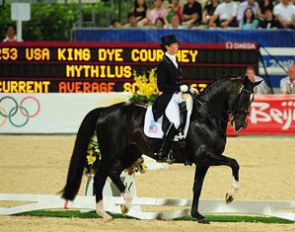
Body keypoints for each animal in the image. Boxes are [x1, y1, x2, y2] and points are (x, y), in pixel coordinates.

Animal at [60, 75, 262, 223]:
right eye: (244, 97)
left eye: (253, 99)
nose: (241, 125)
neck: (206, 117)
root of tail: (105, 111)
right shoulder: (206, 155)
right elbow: (234, 164)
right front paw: (230, 196)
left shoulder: (203, 162)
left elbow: (197, 187)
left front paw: (197, 215)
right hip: (112, 152)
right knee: (101, 176)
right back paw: (105, 213)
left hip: (130, 152)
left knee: (114, 173)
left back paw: (126, 205)